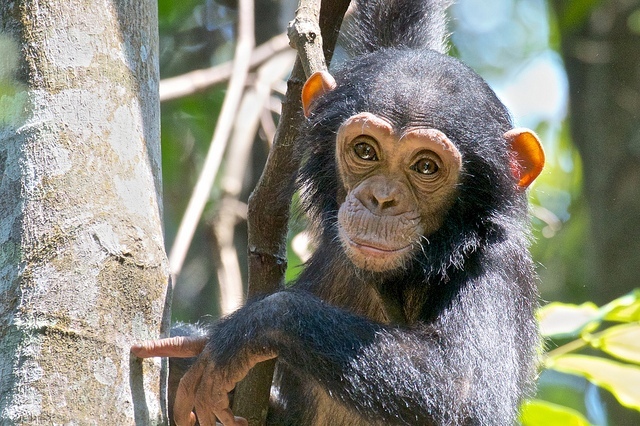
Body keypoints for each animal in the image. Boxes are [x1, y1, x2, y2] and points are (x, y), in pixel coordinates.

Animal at [132, 0, 544, 424]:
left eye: (427, 167)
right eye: (365, 150)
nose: (382, 199)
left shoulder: (498, 266)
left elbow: (464, 392)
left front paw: (246, 329)